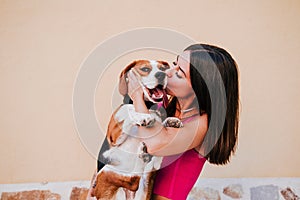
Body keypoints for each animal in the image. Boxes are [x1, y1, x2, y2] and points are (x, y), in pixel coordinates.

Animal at [89, 59, 183, 200]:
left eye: (163, 69)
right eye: (145, 69)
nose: (161, 75)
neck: (148, 106)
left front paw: (170, 120)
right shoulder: (113, 136)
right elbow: (128, 110)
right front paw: (142, 116)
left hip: (145, 183)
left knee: (141, 176)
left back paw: (146, 154)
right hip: (105, 172)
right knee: (133, 180)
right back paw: (143, 155)